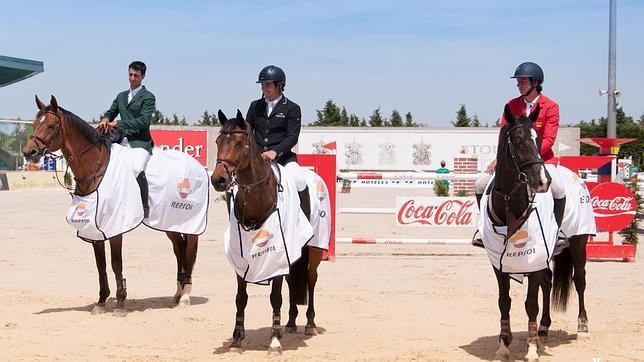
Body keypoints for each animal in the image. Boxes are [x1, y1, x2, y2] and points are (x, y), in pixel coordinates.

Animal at [23, 96, 201, 316]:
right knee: (178, 249)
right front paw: (101, 302)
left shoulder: (116, 226)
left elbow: (116, 263)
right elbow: (100, 265)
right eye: (35, 123)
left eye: (51, 125)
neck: (96, 167)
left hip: (191, 223)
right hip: (170, 222)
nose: (29, 152)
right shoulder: (95, 228)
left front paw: (121, 303)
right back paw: (177, 293)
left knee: (189, 251)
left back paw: (185, 296)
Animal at [210, 109, 324, 354]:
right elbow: (240, 297)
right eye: (218, 141)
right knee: (293, 280)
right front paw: (237, 339)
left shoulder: (277, 254)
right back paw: (290, 323)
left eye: (238, 142)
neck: (257, 198)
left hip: (315, 249)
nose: (218, 180)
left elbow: (275, 298)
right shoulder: (240, 257)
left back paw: (309, 324)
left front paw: (274, 341)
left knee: (311, 279)